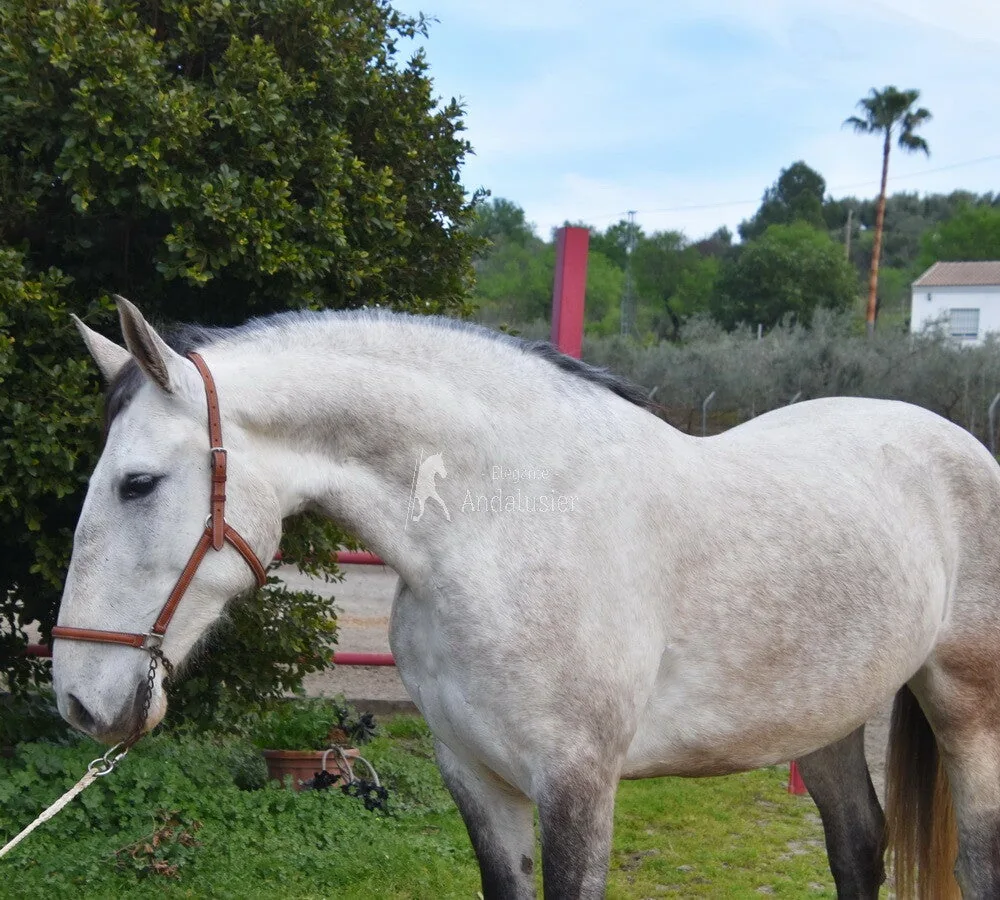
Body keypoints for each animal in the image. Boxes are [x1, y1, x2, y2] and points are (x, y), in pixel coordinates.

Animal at [52, 297, 1000, 899]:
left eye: (138, 483)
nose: (78, 701)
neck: (502, 527)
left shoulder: (577, 783)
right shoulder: (475, 775)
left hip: (967, 711)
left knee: (977, 862)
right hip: (828, 719)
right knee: (858, 849)